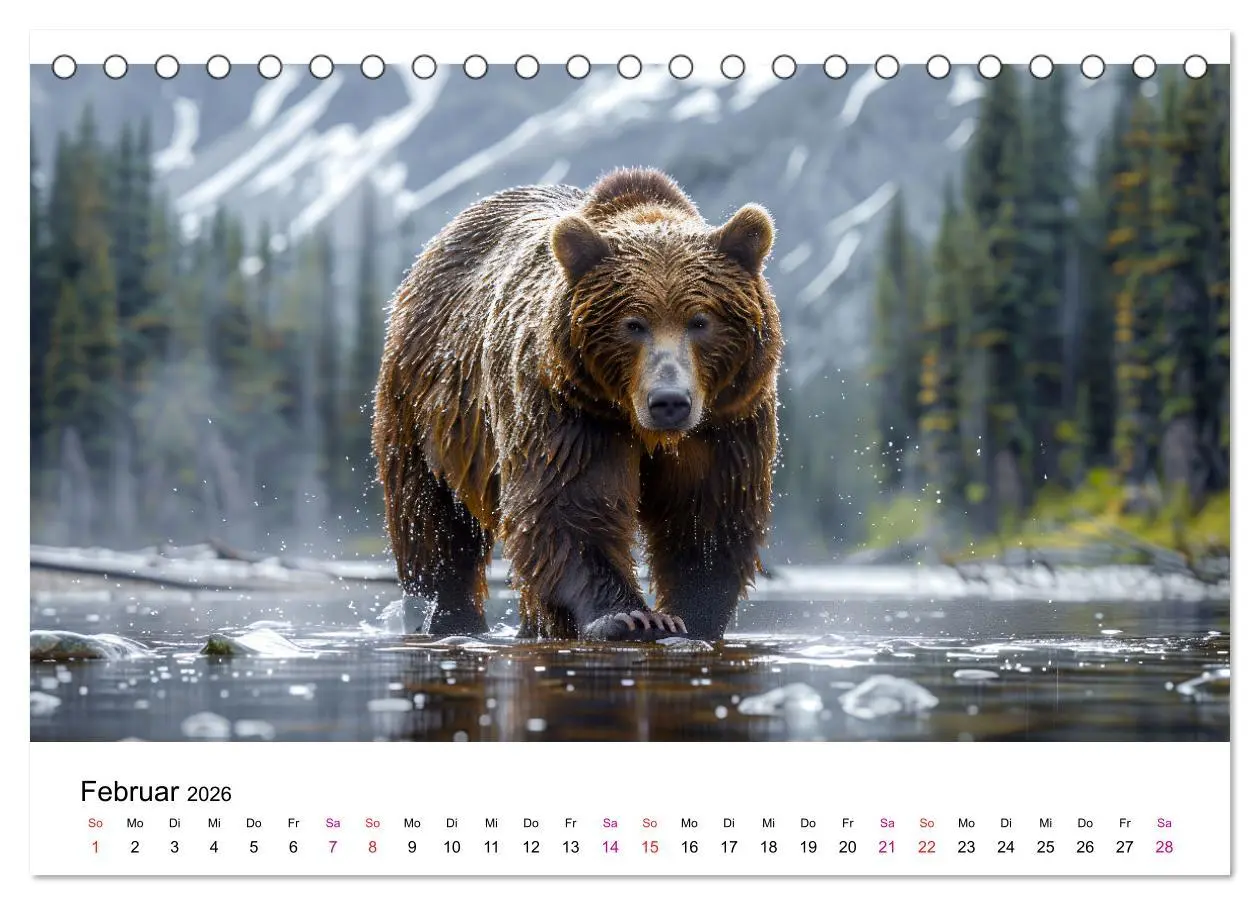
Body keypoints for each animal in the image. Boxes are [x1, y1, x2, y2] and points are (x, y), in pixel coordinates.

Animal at [372, 167, 782, 642]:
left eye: (700, 321)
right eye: (633, 324)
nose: (669, 401)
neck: (635, 421)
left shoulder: (727, 421)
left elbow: (708, 515)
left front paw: (691, 617)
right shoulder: (568, 408)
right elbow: (567, 505)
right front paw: (632, 616)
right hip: (428, 408)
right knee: (433, 525)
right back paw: (450, 618)